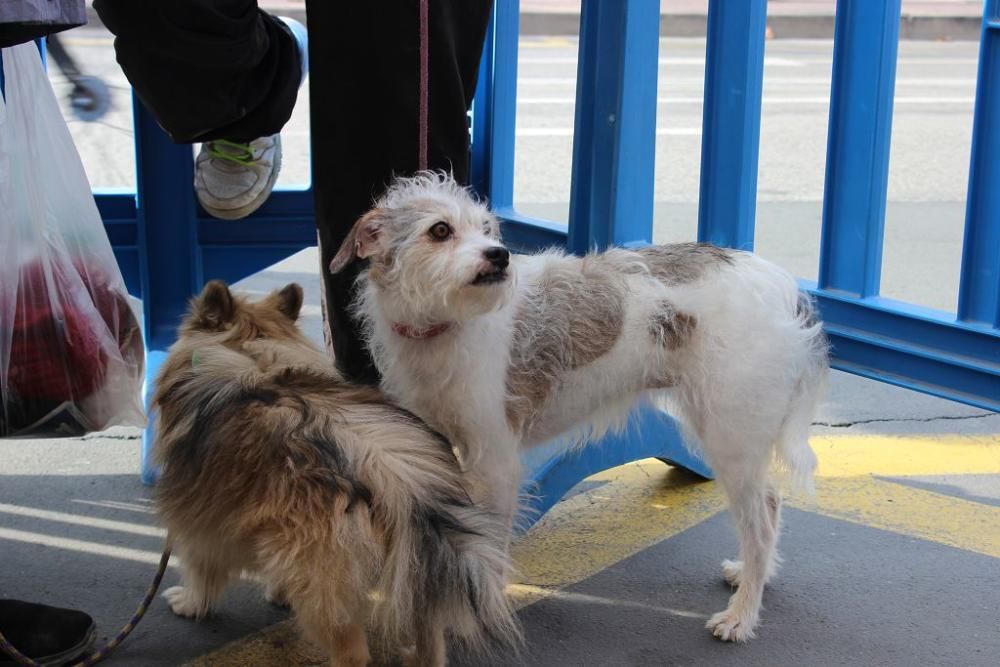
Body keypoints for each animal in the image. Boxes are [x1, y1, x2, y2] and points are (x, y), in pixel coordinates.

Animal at [154, 284, 524, 667]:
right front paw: (278, 591)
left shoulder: (200, 519)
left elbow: (200, 567)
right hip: (418, 568)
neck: (253, 353)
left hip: (325, 581)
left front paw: (191, 603)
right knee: (430, 639)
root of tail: (395, 472)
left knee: (352, 652)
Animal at [330, 172, 828, 640]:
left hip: (730, 436)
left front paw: (481, 611)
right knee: (770, 502)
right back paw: (748, 576)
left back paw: (741, 617)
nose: (499, 255)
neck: (447, 323)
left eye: (488, 229)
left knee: (759, 525)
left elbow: (490, 539)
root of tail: (782, 285)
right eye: (439, 230)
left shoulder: (496, 462)